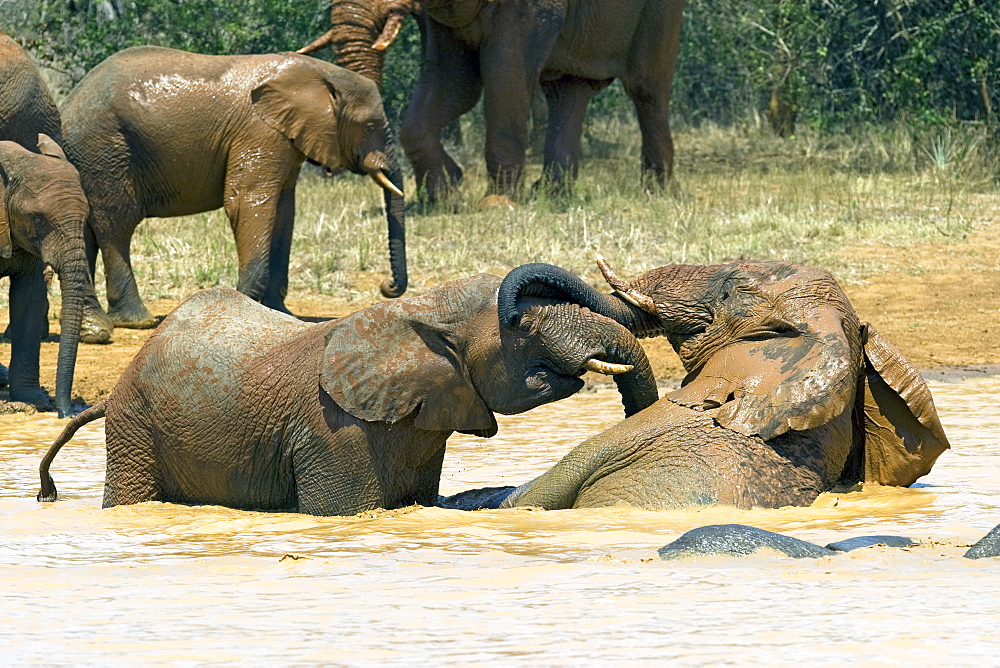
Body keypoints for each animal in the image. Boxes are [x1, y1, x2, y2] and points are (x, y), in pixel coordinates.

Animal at [60, 45, 410, 340]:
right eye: (369, 126)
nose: (387, 286)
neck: (321, 73)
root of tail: (69, 102)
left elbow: (284, 212)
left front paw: (279, 312)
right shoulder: (260, 131)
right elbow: (248, 202)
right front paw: (245, 305)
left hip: (90, 155)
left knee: (87, 230)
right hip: (105, 147)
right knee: (117, 223)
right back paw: (136, 321)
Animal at [300, 0, 684, 201]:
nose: (330, 171)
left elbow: (505, 77)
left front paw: (496, 204)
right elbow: (453, 83)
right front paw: (444, 194)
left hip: (659, 11)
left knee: (647, 89)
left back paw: (657, 191)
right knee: (567, 91)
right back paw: (551, 193)